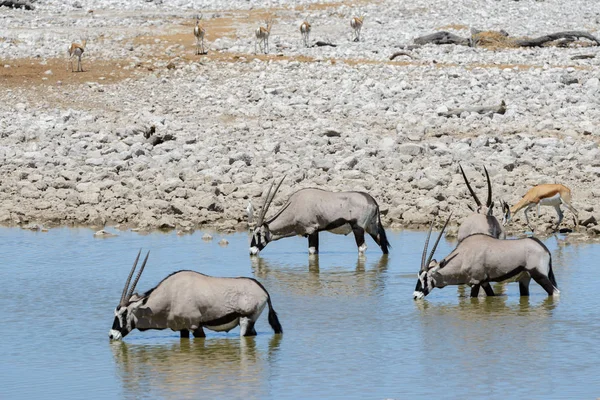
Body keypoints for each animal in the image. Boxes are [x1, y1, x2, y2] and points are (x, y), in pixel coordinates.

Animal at [247, 176, 390, 256]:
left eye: (258, 234)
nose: (251, 251)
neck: (294, 207)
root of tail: (371, 200)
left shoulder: (312, 230)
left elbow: (311, 251)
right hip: (372, 228)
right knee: (383, 246)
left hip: (358, 228)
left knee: (362, 248)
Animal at [412, 216, 556, 300]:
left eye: (426, 277)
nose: (415, 295)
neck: (463, 256)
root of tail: (544, 249)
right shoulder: (485, 283)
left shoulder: (475, 282)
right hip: (524, 279)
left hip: (539, 275)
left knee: (555, 292)